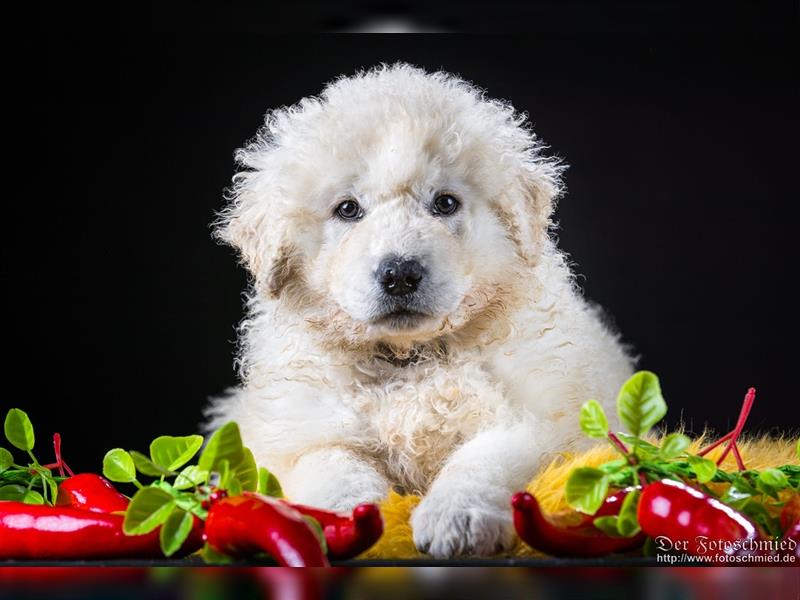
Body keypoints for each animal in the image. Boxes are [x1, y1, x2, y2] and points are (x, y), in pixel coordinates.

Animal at [203, 64, 636, 556]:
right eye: (348, 209)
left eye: (444, 202)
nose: (400, 274)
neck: (408, 361)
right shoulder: (298, 430)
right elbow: (331, 463)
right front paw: (342, 516)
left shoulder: (541, 420)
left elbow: (485, 458)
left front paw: (458, 518)